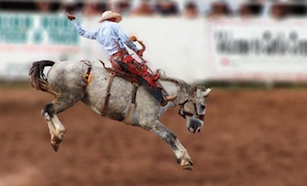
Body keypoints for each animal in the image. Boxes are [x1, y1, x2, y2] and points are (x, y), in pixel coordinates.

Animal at [28, 59, 212, 170]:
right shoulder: (149, 122)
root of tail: (56, 64)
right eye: (203, 105)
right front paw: (185, 160)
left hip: (65, 99)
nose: (198, 128)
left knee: (46, 111)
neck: (163, 93)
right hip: (68, 98)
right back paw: (58, 135)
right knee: (48, 110)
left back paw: (55, 139)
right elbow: (170, 136)